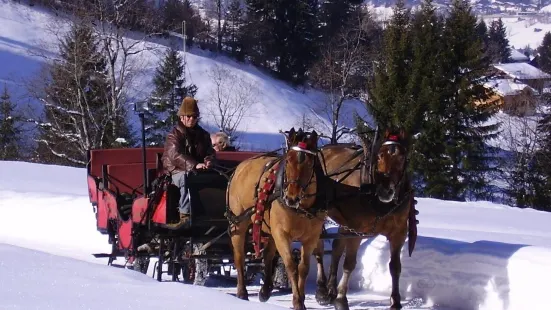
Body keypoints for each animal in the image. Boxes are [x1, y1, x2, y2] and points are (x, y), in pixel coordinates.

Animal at [227, 127, 328, 308]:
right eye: (287, 160)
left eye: (310, 163)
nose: (292, 197)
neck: (301, 208)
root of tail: (240, 167)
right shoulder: (282, 234)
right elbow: (291, 266)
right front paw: (297, 301)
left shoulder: (311, 237)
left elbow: (303, 268)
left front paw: (301, 298)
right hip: (239, 223)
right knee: (239, 257)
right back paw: (242, 293)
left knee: (267, 255)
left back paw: (265, 290)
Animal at [312, 127, 416, 310]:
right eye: (379, 155)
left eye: (402, 157)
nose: (386, 190)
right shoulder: (357, 231)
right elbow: (349, 264)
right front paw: (341, 299)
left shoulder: (399, 233)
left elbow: (395, 267)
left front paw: (395, 301)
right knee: (318, 247)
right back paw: (322, 291)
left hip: (344, 222)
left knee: (337, 247)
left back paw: (331, 288)